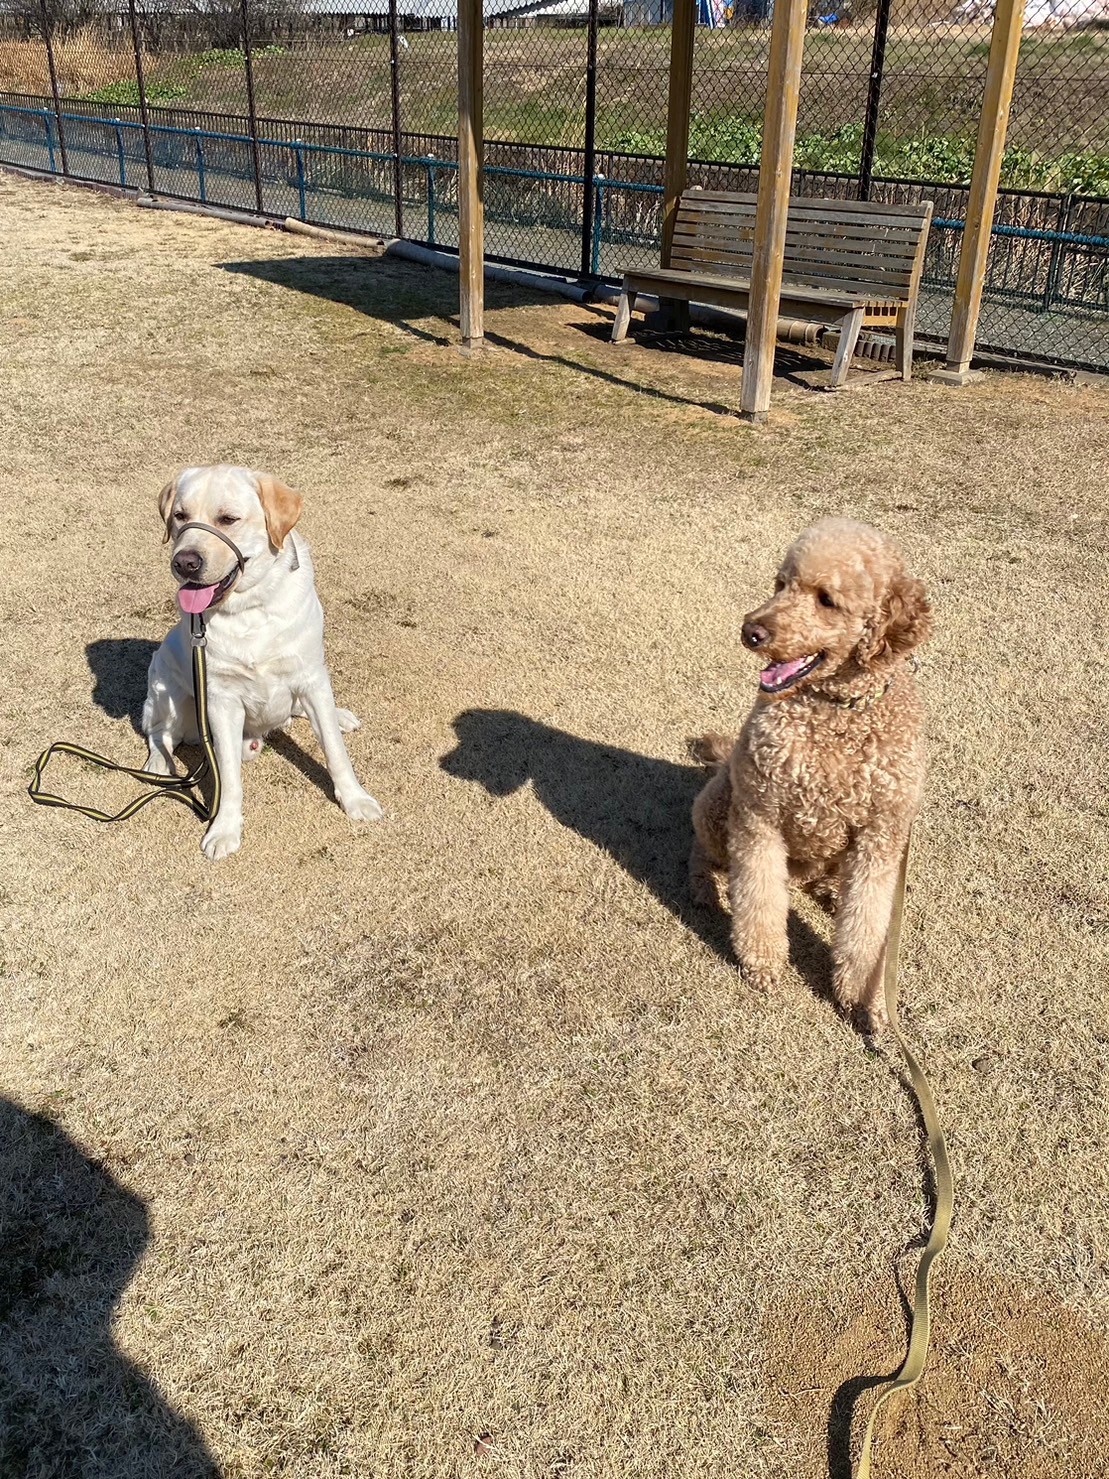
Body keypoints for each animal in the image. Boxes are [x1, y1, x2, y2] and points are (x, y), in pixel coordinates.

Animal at [142, 465, 383, 860]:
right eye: (179, 516)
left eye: (228, 519)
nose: (184, 562)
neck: (249, 608)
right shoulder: (221, 700)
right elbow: (228, 777)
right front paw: (224, 829)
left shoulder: (310, 677)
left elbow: (335, 750)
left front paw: (355, 799)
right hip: (168, 686)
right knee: (159, 731)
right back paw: (158, 762)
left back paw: (340, 716)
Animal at [690, 519, 932, 1032]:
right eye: (781, 584)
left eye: (826, 599)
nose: (751, 631)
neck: (835, 710)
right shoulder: (758, 817)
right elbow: (759, 898)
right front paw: (762, 964)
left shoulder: (882, 835)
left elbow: (869, 922)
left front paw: (862, 997)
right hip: (718, 800)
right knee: (702, 853)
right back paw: (705, 887)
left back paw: (829, 891)